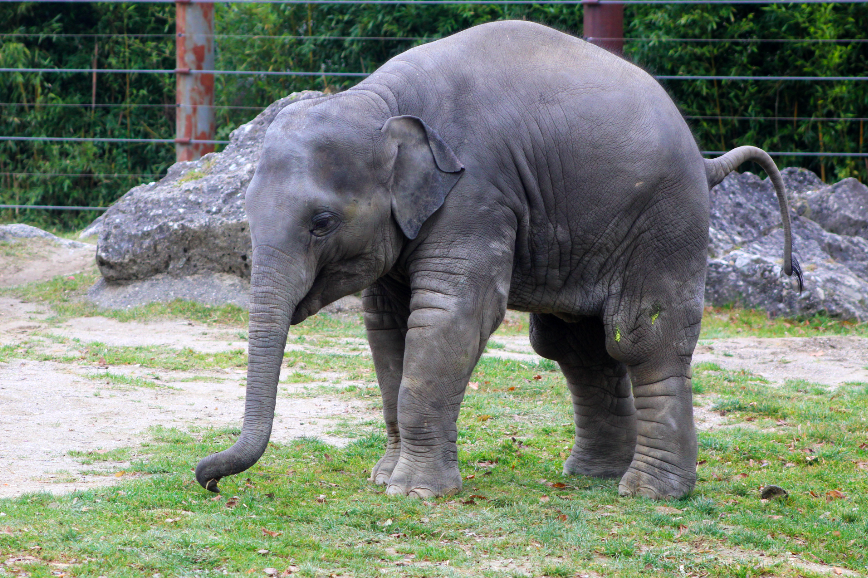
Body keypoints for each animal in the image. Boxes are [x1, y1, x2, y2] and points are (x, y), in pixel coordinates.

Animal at [195, 20, 801, 500]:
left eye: (321, 223)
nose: (210, 480)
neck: (379, 102)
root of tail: (704, 159)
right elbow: (387, 326)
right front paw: (383, 479)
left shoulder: (476, 193)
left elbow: (451, 315)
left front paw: (413, 494)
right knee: (575, 346)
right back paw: (592, 476)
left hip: (666, 222)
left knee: (639, 338)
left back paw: (649, 493)